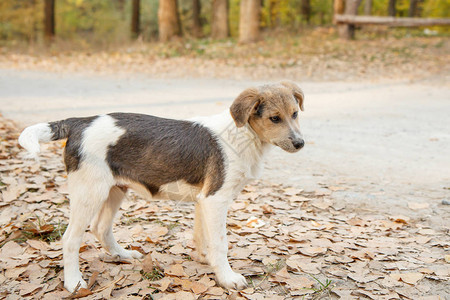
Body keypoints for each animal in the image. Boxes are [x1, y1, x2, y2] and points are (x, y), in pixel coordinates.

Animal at [18, 81, 306, 292]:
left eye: (295, 114)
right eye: (274, 118)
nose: (301, 143)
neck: (244, 135)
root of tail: (80, 121)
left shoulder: (204, 201)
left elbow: (202, 236)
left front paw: (205, 260)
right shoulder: (215, 199)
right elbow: (220, 243)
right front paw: (227, 278)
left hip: (114, 189)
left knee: (101, 228)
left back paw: (122, 255)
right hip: (90, 192)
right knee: (70, 239)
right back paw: (74, 283)